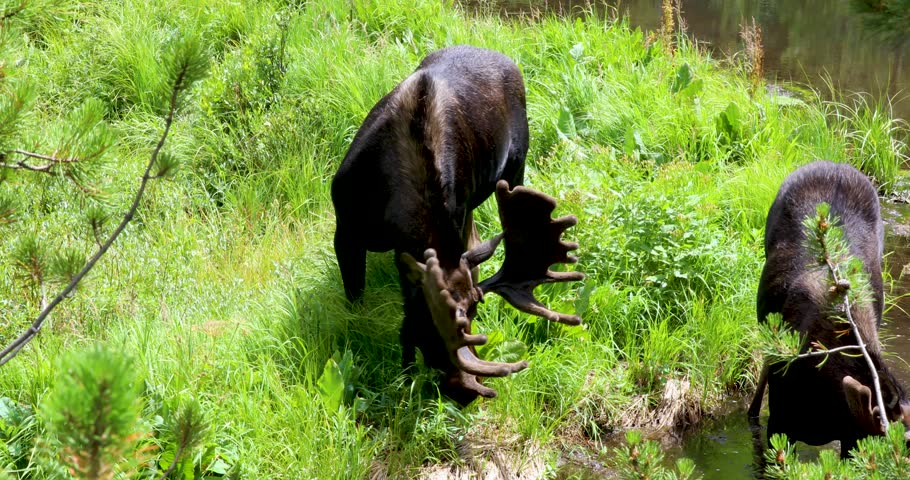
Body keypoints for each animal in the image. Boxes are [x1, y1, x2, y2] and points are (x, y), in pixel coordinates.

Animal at [331, 45, 584, 405]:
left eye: (475, 312)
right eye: (432, 325)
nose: (467, 392)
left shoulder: (457, 216)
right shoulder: (346, 229)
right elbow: (355, 299)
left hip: (515, 170)